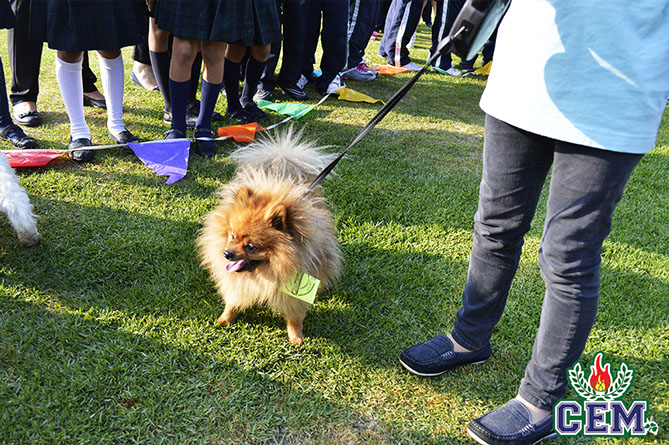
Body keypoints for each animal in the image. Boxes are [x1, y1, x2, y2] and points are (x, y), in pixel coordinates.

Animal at [197, 129, 342, 345]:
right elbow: (233, 298)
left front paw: (296, 336)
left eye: (251, 246)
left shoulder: (295, 291)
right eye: (232, 235)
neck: (268, 271)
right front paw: (225, 318)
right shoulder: (237, 282)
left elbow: (295, 316)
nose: (227, 253)